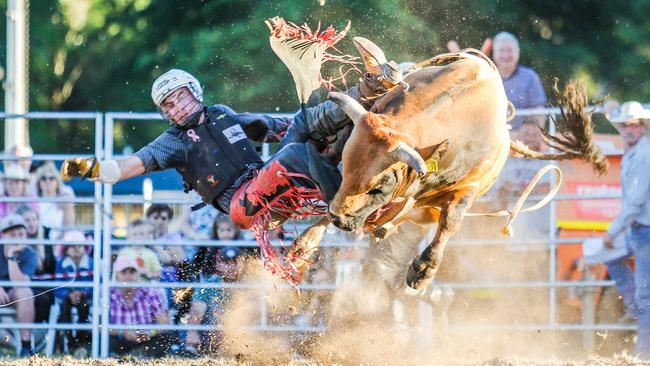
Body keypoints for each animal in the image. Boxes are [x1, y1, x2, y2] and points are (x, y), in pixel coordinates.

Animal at [326, 47, 604, 294]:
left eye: (379, 186)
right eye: (346, 164)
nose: (337, 217)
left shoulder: (469, 187)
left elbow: (451, 220)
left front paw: (423, 271)